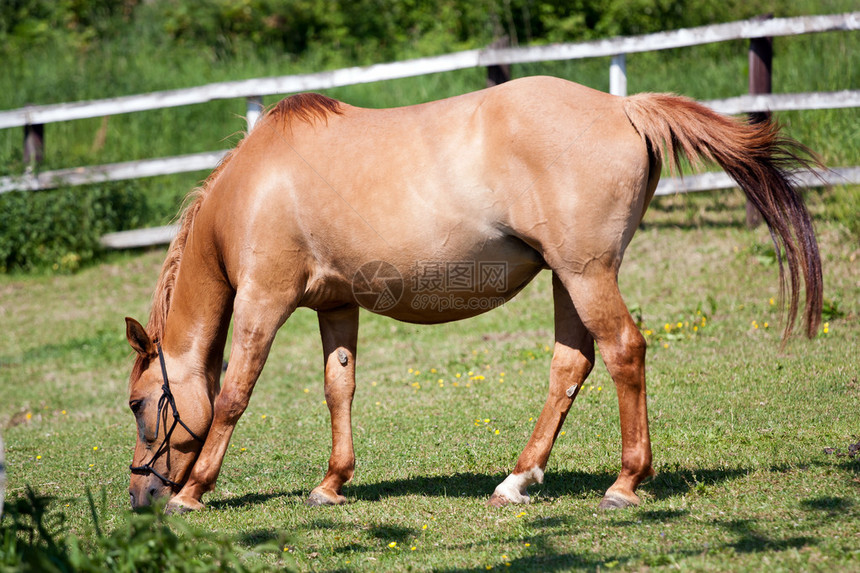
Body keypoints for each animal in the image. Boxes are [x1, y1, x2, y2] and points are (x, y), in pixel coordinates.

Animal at [122, 75, 820, 510]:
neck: (253, 187)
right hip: (569, 279)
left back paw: (624, 482)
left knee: (624, 350)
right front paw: (332, 483)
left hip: (587, 274)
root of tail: (623, 107)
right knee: (572, 365)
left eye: (137, 405)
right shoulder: (336, 306)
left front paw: (193, 492)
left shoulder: (263, 301)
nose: (139, 495)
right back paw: (517, 480)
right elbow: (338, 388)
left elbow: (233, 395)